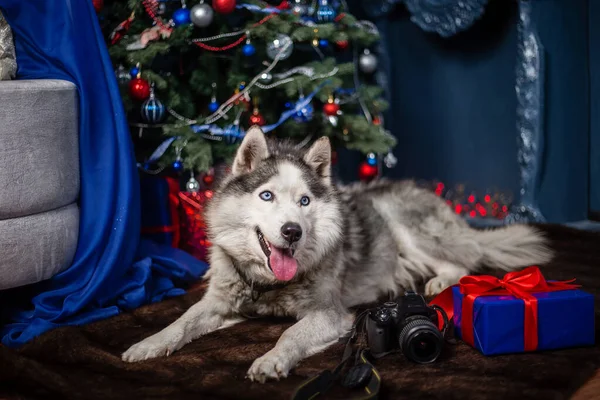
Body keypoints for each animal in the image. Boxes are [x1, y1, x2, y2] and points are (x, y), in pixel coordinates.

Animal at [122, 126, 552, 382]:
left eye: (305, 201)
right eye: (266, 195)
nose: (292, 232)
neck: (267, 285)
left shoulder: (329, 314)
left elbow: (291, 334)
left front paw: (271, 360)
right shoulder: (219, 302)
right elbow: (182, 322)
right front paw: (149, 344)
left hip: (408, 228)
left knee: (465, 258)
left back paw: (440, 281)